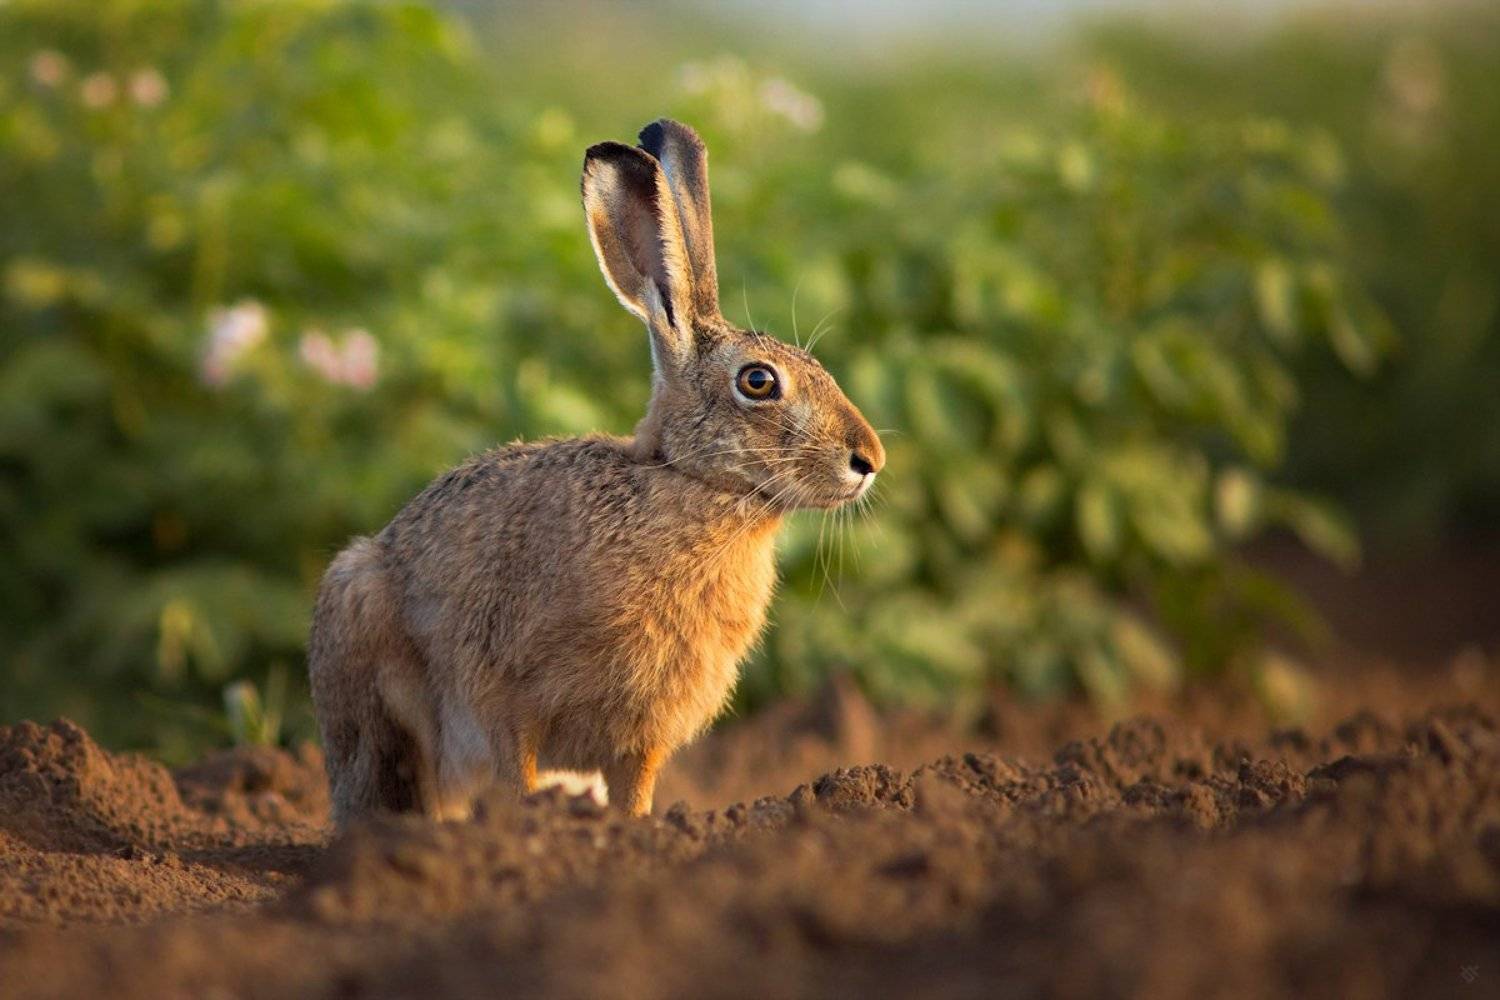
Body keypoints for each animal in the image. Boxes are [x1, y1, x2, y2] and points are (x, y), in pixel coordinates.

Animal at [308, 119, 885, 825]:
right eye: (758, 382)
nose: (870, 460)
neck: (688, 484)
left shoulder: (642, 737)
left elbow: (634, 795)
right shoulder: (505, 697)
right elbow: (516, 776)